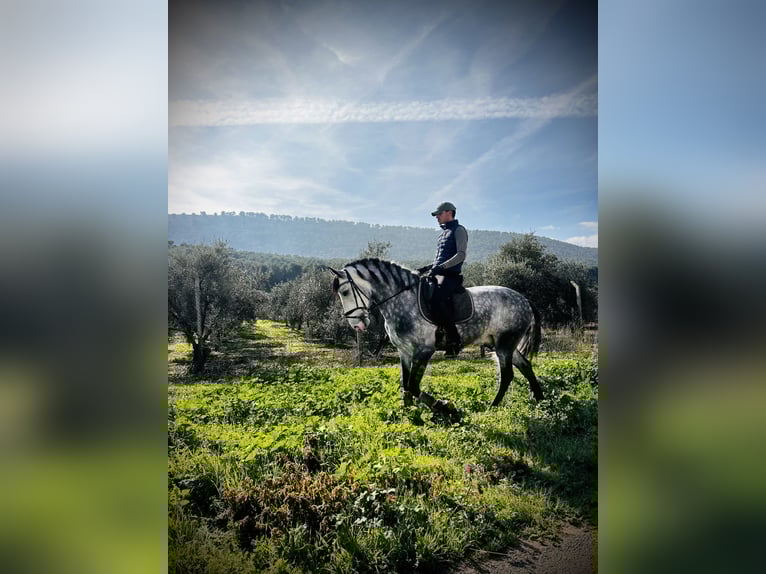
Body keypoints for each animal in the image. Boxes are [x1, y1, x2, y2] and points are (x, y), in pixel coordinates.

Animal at [329, 258, 544, 409]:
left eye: (345, 292)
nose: (356, 324)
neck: (402, 300)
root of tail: (524, 300)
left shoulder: (423, 351)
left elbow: (413, 386)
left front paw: (442, 406)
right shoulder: (404, 352)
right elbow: (405, 385)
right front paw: (408, 414)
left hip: (504, 344)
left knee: (507, 375)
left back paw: (493, 406)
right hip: (503, 345)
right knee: (525, 365)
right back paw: (540, 400)